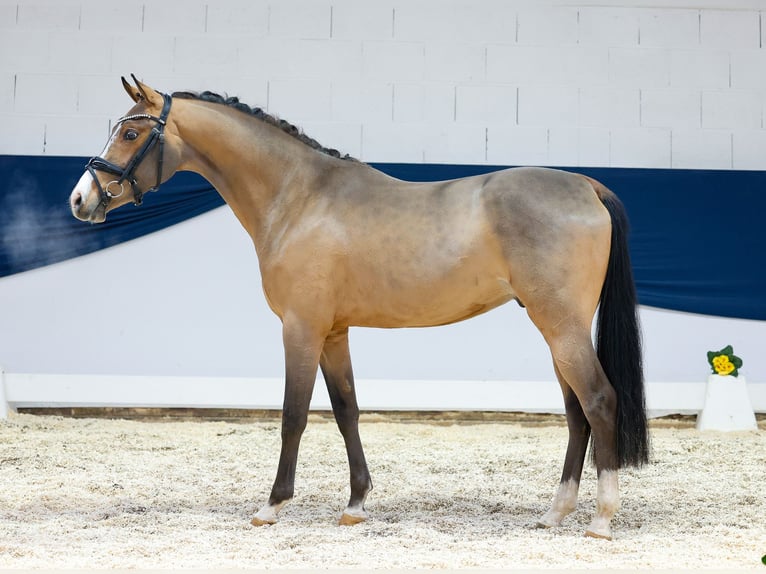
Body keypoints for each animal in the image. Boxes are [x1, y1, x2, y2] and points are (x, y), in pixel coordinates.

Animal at [70, 75, 648, 540]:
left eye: (130, 134)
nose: (81, 200)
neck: (300, 197)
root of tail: (586, 185)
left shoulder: (301, 329)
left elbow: (294, 415)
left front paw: (272, 506)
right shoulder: (334, 332)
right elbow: (347, 410)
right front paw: (355, 504)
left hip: (561, 326)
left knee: (598, 401)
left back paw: (601, 520)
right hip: (554, 328)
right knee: (575, 412)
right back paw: (555, 513)